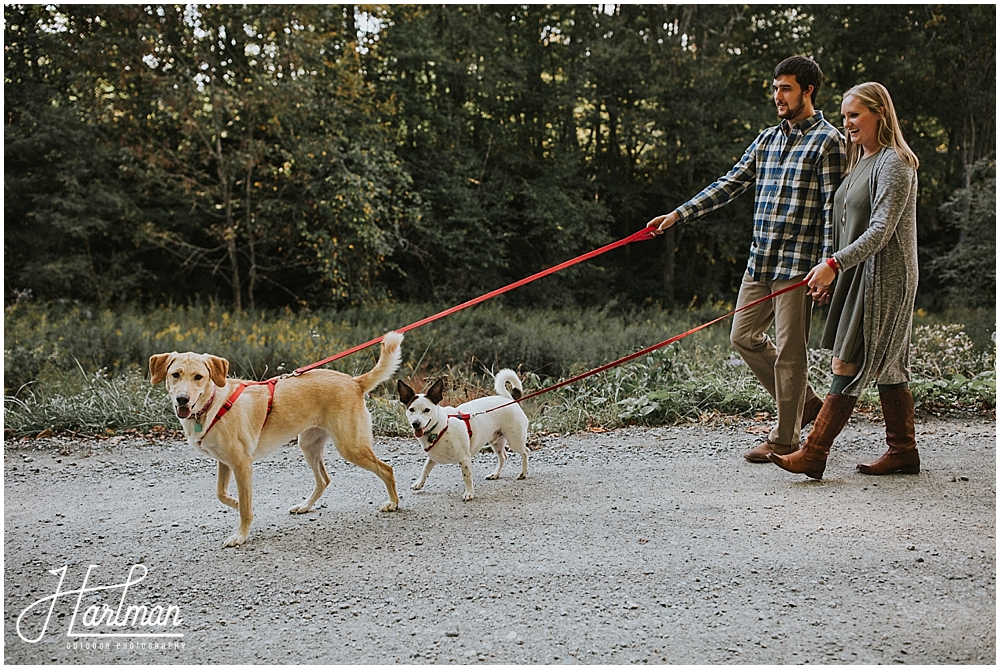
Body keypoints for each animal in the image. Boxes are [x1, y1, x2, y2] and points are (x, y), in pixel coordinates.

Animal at [147, 332, 402, 544]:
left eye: (198, 377)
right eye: (175, 375)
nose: (182, 399)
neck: (212, 405)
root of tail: (354, 381)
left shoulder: (242, 465)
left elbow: (244, 507)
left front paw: (241, 534)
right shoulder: (225, 462)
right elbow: (221, 494)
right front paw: (237, 503)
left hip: (351, 447)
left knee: (387, 470)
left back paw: (394, 503)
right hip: (308, 445)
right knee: (323, 480)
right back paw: (305, 506)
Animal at [396, 370, 532, 500]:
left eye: (427, 410)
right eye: (411, 409)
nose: (415, 423)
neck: (440, 426)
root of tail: (510, 400)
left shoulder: (464, 458)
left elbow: (467, 477)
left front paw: (469, 493)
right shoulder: (432, 457)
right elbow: (425, 469)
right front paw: (419, 483)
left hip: (515, 441)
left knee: (525, 452)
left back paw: (523, 473)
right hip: (496, 442)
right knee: (503, 457)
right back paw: (495, 474)